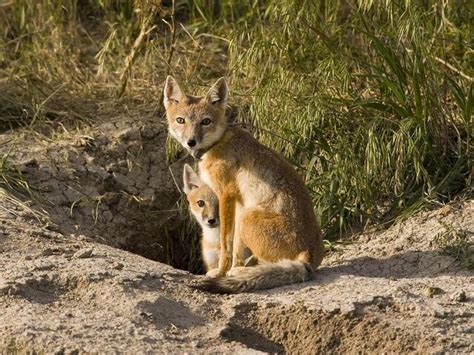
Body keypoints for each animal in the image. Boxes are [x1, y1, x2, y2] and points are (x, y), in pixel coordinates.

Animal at [164, 76, 326, 294]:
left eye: (205, 121)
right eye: (180, 120)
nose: (191, 142)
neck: (217, 144)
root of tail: (310, 256)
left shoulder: (226, 194)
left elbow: (225, 244)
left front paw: (220, 272)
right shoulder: (237, 203)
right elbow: (236, 250)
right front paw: (230, 270)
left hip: (248, 218)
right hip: (244, 216)